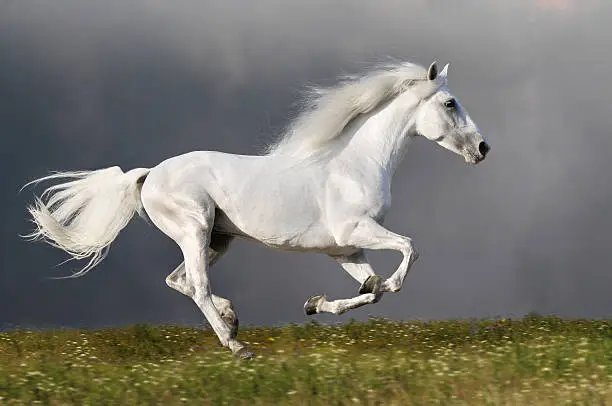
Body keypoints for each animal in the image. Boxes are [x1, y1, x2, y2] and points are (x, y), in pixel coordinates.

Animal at [22, 61, 488, 358]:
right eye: (449, 104)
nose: (483, 148)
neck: (354, 164)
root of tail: (150, 174)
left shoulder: (344, 249)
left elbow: (370, 290)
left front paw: (316, 304)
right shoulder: (356, 231)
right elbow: (407, 253)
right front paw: (373, 286)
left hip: (217, 240)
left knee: (180, 280)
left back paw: (231, 319)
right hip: (194, 230)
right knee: (197, 285)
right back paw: (237, 346)